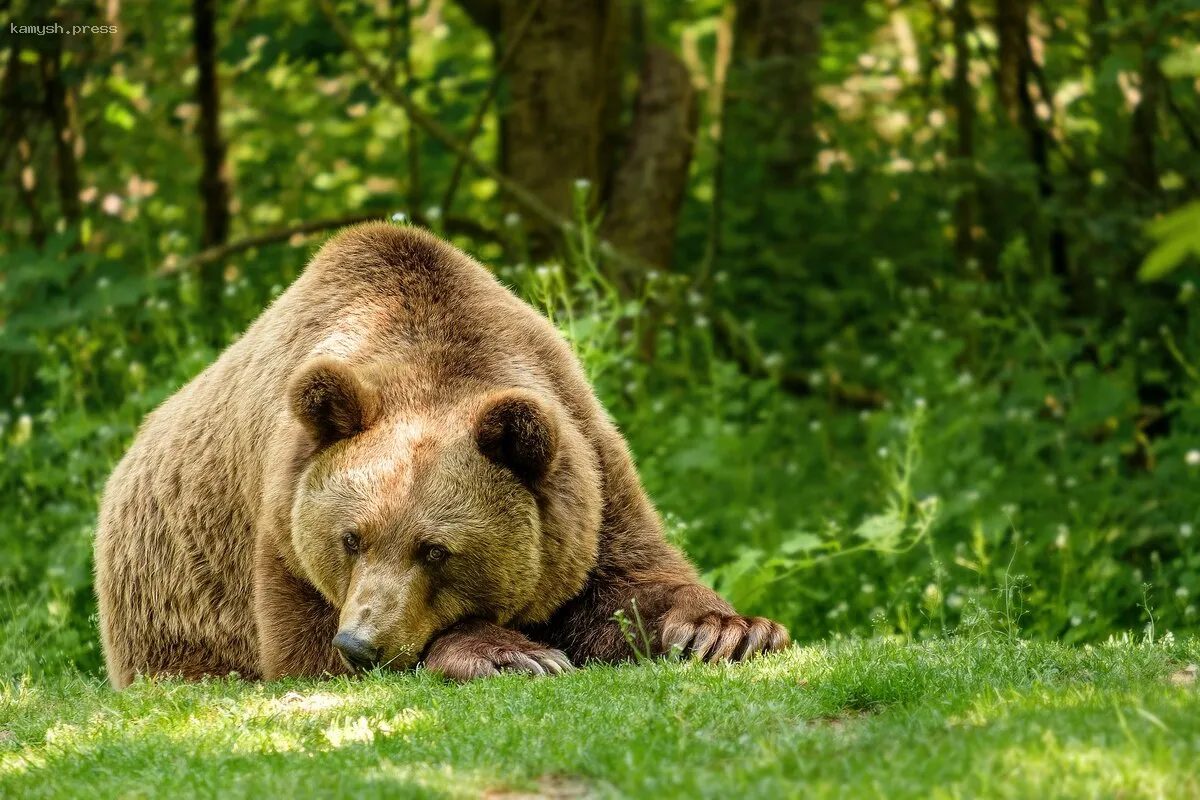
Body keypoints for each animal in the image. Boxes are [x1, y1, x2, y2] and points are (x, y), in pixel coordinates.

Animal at [91, 224, 787, 690]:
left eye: (435, 549)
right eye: (350, 538)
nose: (361, 643)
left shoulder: (585, 465)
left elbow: (629, 579)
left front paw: (729, 631)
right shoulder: (282, 525)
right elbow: (303, 649)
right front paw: (513, 652)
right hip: (170, 602)